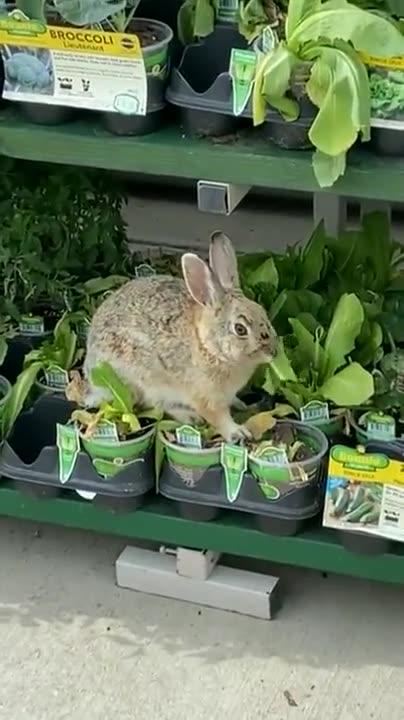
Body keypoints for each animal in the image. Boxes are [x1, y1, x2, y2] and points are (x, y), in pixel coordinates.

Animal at [83, 231, 278, 443]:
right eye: (240, 329)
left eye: (262, 313)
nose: (273, 352)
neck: (209, 347)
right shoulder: (206, 397)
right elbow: (218, 417)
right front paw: (238, 432)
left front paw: (240, 404)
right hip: (140, 381)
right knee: (154, 405)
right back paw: (189, 417)